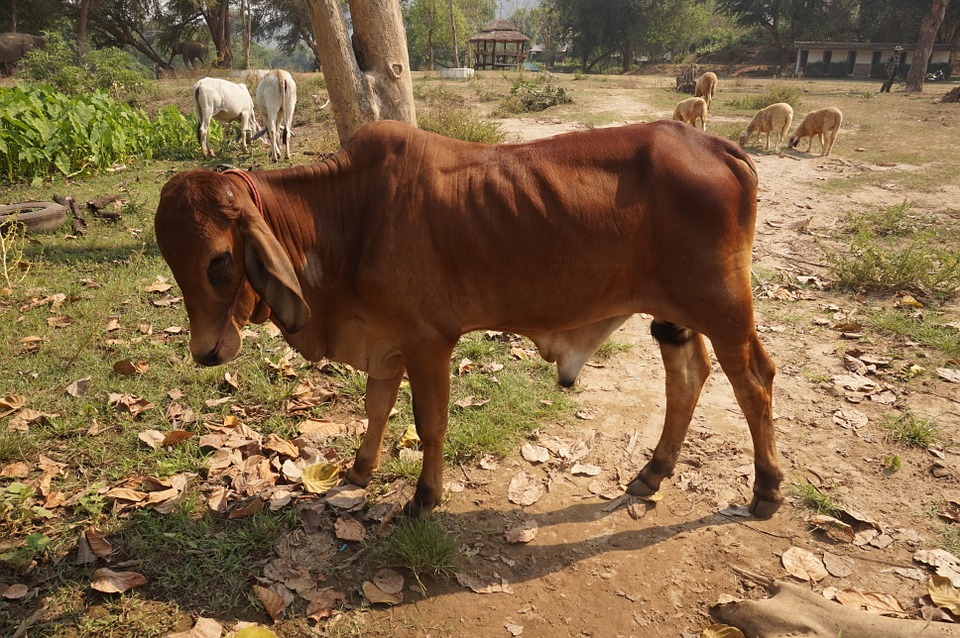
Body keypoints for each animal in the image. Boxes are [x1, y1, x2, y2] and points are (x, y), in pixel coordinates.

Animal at [154, 119, 783, 519]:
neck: (348, 214)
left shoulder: (428, 340)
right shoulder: (386, 339)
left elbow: (429, 423)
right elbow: (376, 407)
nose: (206, 351)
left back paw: (767, 490)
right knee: (689, 375)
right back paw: (654, 471)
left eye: (219, 261)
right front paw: (359, 471)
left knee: (753, 380)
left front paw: (423, 498)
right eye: (171, 260)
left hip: (724, 305)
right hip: (674, 313)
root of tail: (717, 145)